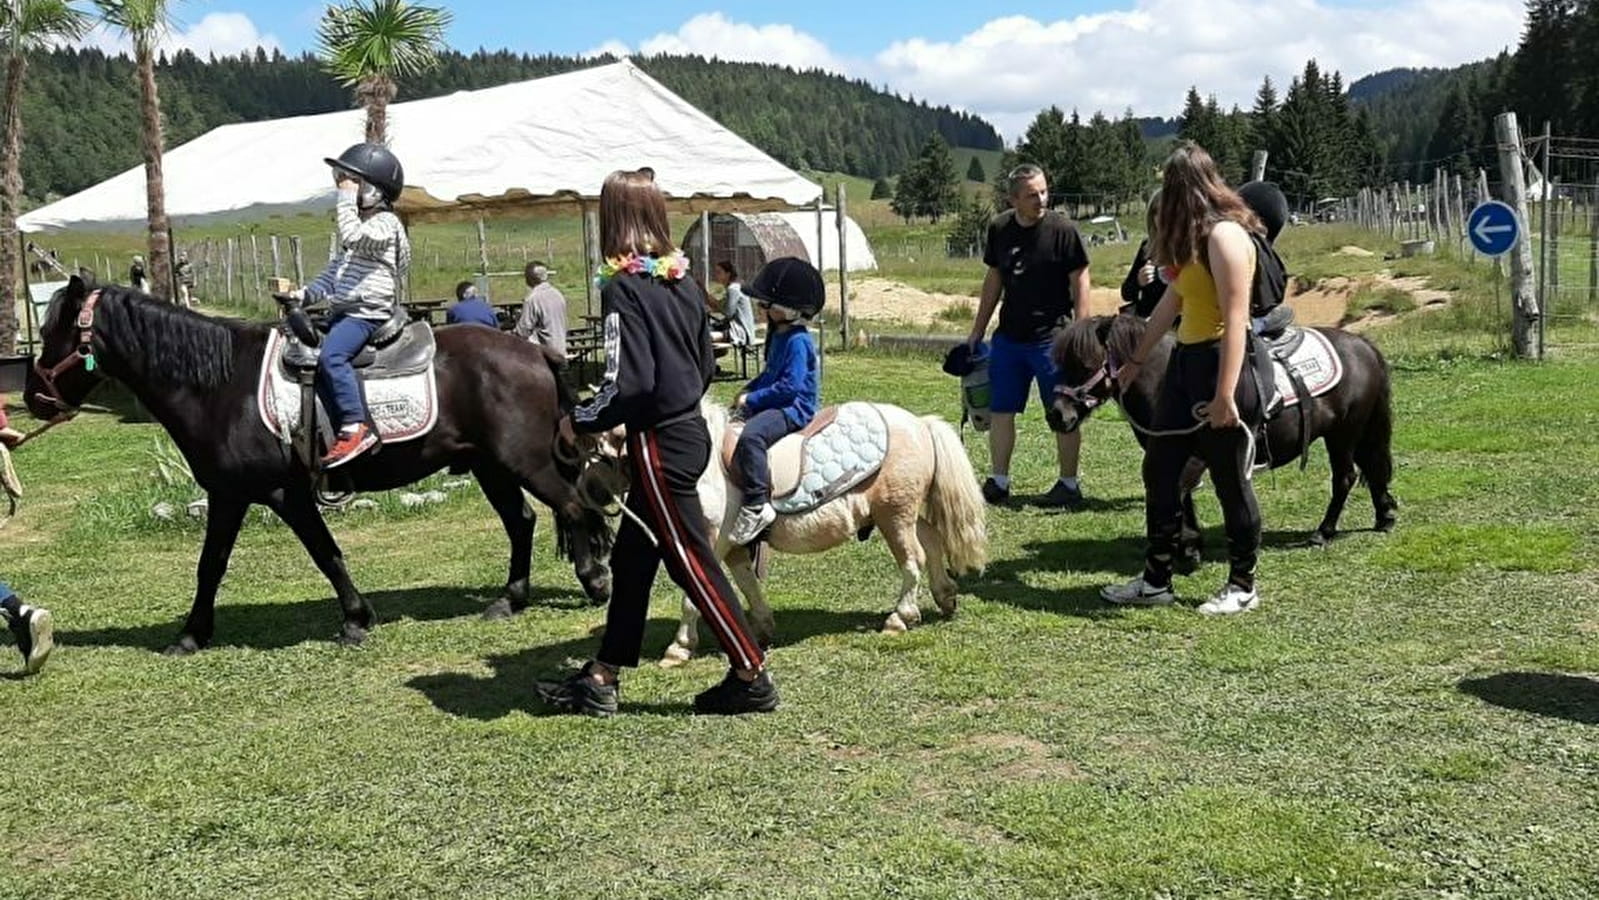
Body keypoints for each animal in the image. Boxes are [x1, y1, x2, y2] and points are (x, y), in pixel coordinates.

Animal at [24, 276, 610, 655]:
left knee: (571, 507)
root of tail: (535, 354)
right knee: (523, 521)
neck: (221, 385)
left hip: (523, 460)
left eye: (53, 333)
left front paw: (353, 620)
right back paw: (510, 600)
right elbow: (222, 563)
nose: (32, 397)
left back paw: (593, 582)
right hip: (491, 465)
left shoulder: (275, 495)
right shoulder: (235, 495)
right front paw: (195, 632)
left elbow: (314, 555)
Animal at [658, 398, 984, 665]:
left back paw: (899, 618)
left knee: (913, 558)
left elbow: (695, 594)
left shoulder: (711, 539)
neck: (708, 463)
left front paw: (678, 649)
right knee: (932, 540)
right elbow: (747, 583)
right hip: (899, 513)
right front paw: (762, 629)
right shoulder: (733, 545)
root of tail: (920, 424)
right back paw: (945, 597)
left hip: (895, 515)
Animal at [1042, 310, 1394, 549]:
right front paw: (1189, 540)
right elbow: (1181, 495)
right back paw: (1384, 516)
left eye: (1086, 364)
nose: (1057, 415)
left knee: (1345, 477)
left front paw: (1185, 542)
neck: (1167, 380)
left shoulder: (1194, 457)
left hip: (1343, 435)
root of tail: (1363, 345)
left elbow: (1180, 491)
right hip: (1356, 432)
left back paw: (1324, 531)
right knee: (1372, 467)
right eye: (1060, 362)